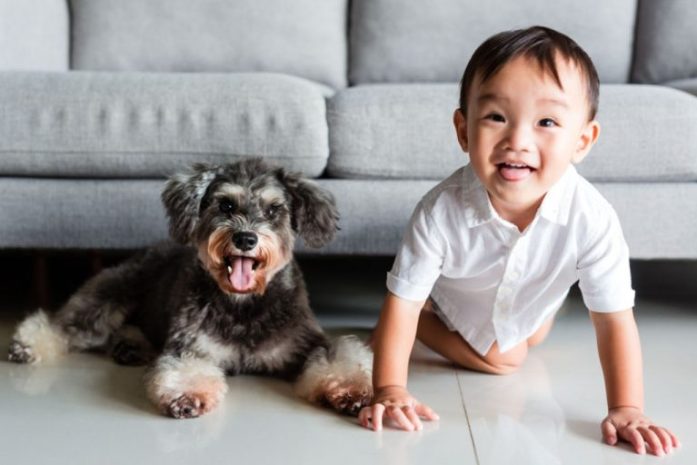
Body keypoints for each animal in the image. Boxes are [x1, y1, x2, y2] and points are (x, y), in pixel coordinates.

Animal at [6, 158, 376, 418]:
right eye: (225, 205)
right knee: (65, 324)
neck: (242, 305)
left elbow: (339, 357)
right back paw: (28, 345)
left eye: (275, 210)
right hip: (110, 297)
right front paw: (187, 396)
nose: (246, 238)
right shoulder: (190, 346)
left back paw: (130, 347)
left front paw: (354, 392)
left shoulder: (307, 341)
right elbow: (184, 369)